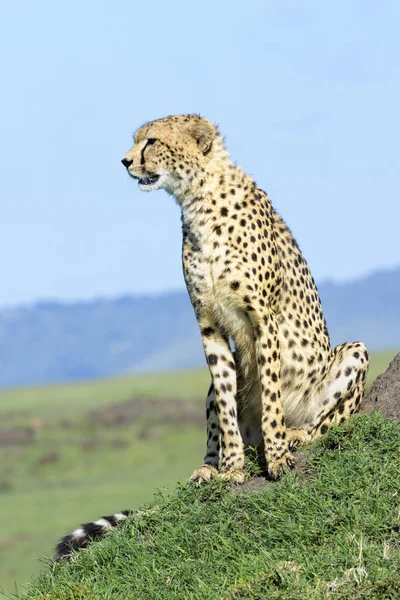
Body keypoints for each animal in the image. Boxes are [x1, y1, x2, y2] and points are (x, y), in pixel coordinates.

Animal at [53, 116, 368, 556]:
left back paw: (295, 435)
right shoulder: (209, 325)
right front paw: (231, 468)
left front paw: (276, 458)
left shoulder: (264, 319)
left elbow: (271, 398)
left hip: (353, 353)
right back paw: (207, 468)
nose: (125, 161)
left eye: (152, 141)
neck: (198, 201)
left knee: (325, 422)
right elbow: (225, 401)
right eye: (136, 140)